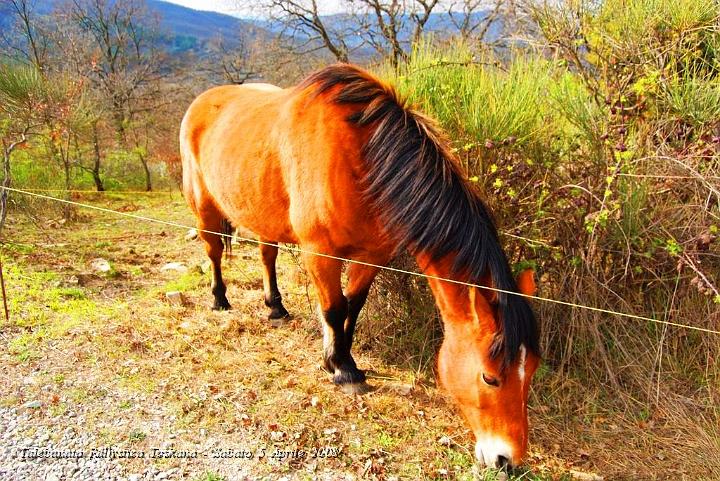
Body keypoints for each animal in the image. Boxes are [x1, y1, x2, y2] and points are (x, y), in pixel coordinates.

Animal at [180, 63, 540, 468]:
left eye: (531, 371)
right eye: (489, 378)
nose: (508, 460)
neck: (360, 155)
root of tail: (203, 100)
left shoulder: (372, 254)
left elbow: (353, 305)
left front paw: (338, 359)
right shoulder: (320, 253)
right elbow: (334, 309)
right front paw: (342, 370)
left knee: (267, 254)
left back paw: (276, 308)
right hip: (202, 204)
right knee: (213, 252)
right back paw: (219, 299)